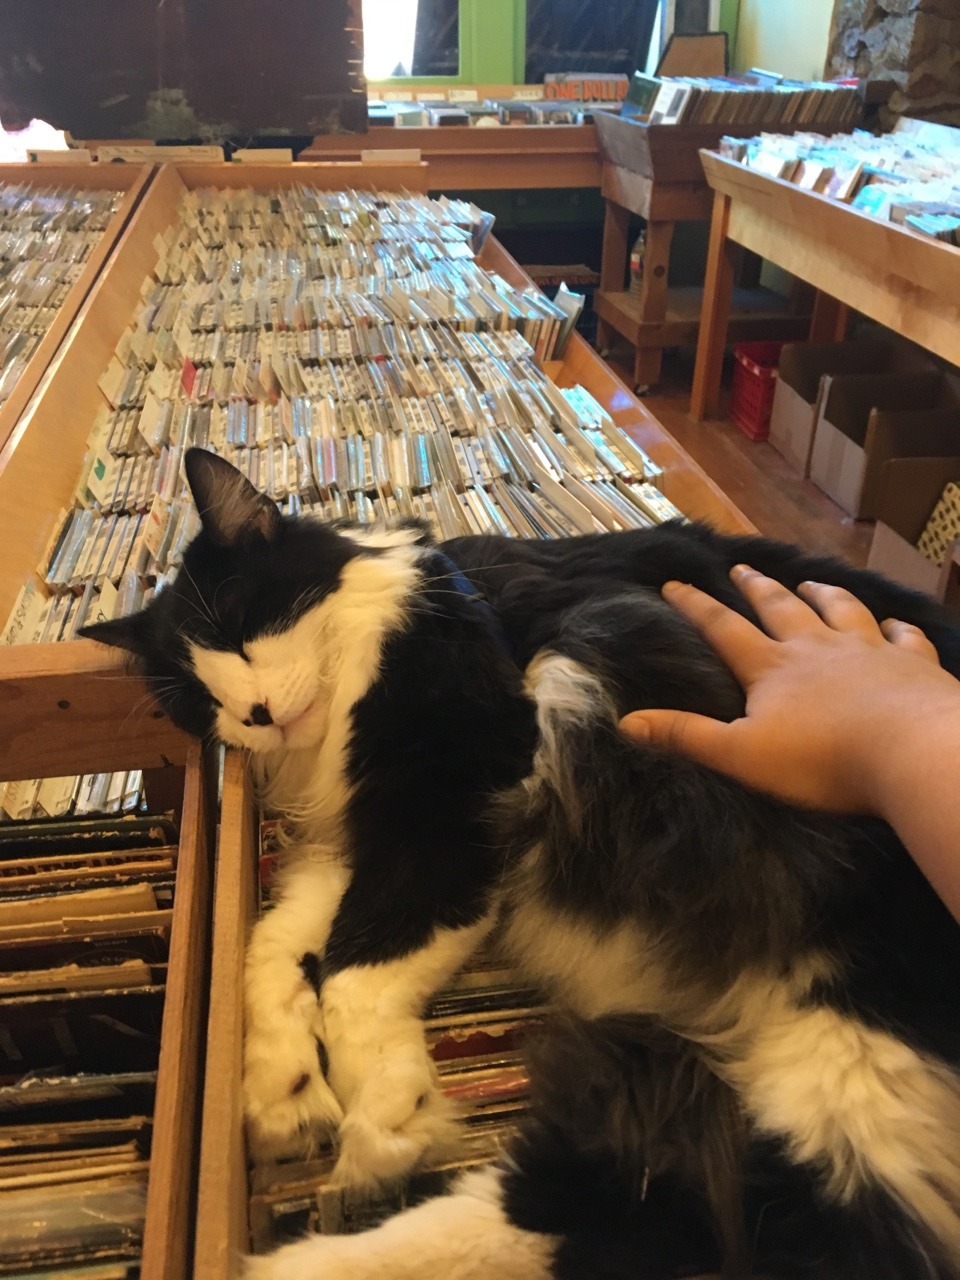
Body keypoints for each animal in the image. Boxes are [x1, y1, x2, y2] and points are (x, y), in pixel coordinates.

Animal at [84, 445, 960, 1274]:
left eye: (241, 623)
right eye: (200, 700)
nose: (256, 714)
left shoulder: (450, 800)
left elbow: (353, 973)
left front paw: (388, 1110)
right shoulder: (359, 843)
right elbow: (272, 951)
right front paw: (284, 1089)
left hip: (855, 1053)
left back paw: (304, 1250)